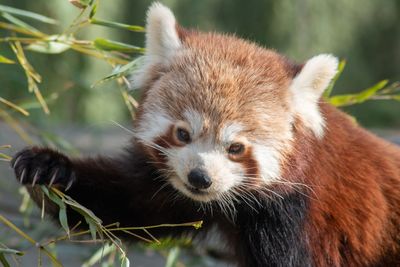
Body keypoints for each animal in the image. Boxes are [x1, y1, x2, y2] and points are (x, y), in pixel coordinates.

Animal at [10, 2, 400, 267]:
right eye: (182, 133)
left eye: (236, 148)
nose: (200, 178)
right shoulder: (175, 192)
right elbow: (128, 205)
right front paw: (48, 168)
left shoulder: (300, 217)